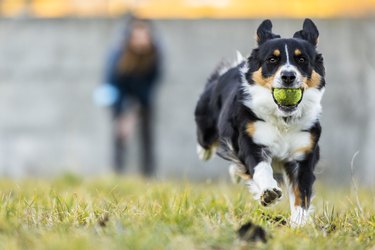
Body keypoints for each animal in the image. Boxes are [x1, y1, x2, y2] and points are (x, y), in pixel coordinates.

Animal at [195, 19, 324, 227]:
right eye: (272, 60)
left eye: (302, 59)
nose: (288, 76)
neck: (283, 121)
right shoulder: (251, 141)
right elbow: (261, 168)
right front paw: (269, 193)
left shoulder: (303, 155)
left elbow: (301, 194)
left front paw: (299, 224)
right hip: (206, 124)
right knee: (205, 142)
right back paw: (205, 152)